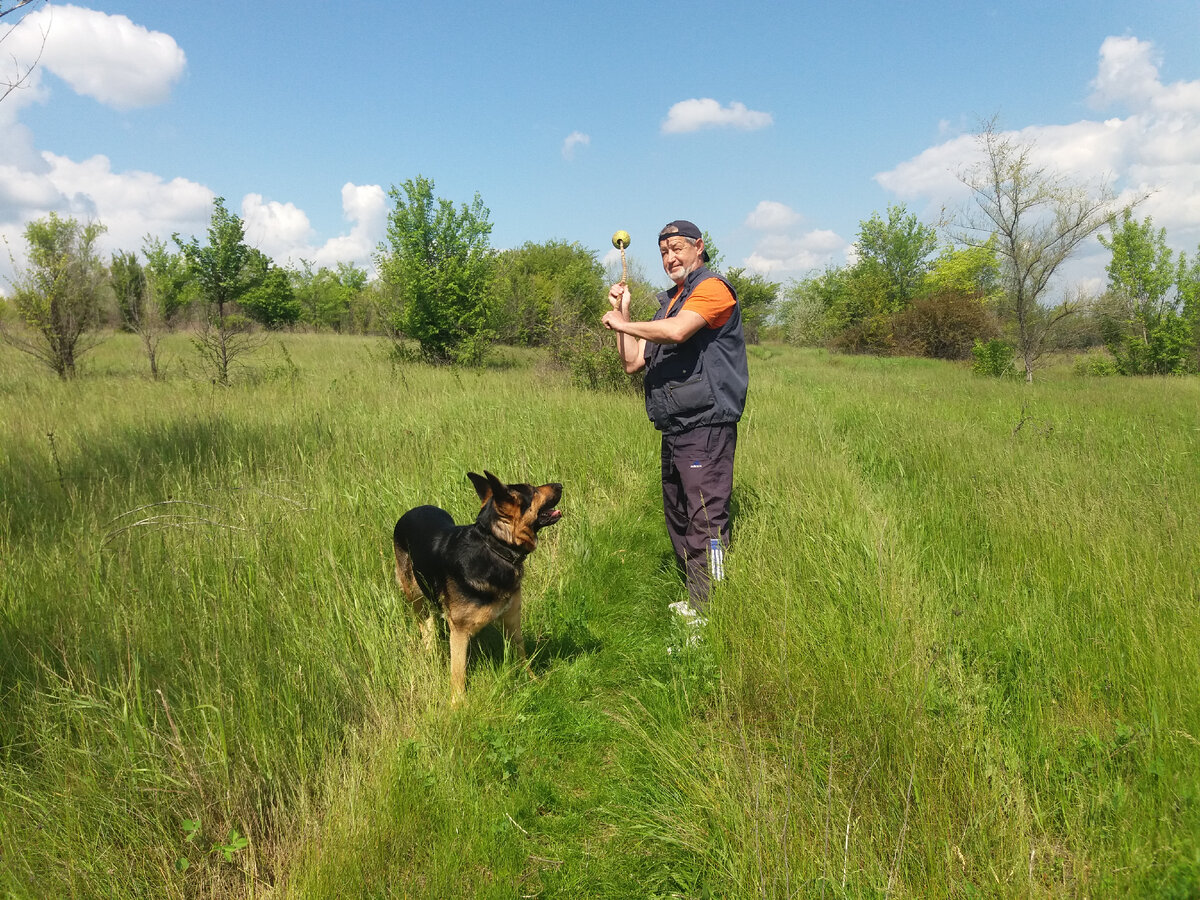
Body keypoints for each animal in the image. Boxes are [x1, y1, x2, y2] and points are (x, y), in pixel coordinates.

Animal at [393, 475, 561, 700]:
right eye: (533, 491)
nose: (560, 485)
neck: (495, 546)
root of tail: (412, 510)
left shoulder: (511, 620)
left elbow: (521, 654)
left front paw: (533, 681)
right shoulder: (459, 631)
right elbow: (458, 674)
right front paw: (457, 704)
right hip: (414, 593)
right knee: (424, 623)